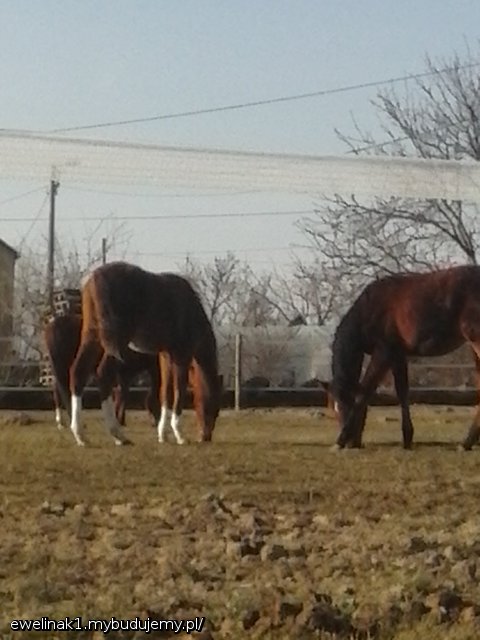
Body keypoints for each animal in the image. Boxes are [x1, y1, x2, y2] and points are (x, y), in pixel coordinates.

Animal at [68, 260, 221, 444]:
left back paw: (81, 436)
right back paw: (117, 434)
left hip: (93, 336)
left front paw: (163, 435)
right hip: (117, 341)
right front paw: (179, 435)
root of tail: (95, 278)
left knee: (79, 372)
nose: (205, 437)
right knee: (103, 375)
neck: (189, 310)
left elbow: (166, 393)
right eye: (213, 407)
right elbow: (179, 391)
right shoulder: (181, 356)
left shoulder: (165, 357)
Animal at [328, 264, 480, 450]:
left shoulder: (384, 352)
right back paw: (467, 442)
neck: (369, 309)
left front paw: (340, 440)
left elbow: (365, 392)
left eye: (345, 404)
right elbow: (402, 391)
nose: (351, 443)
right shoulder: (398, 355)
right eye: (334, 409)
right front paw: (407, 438)